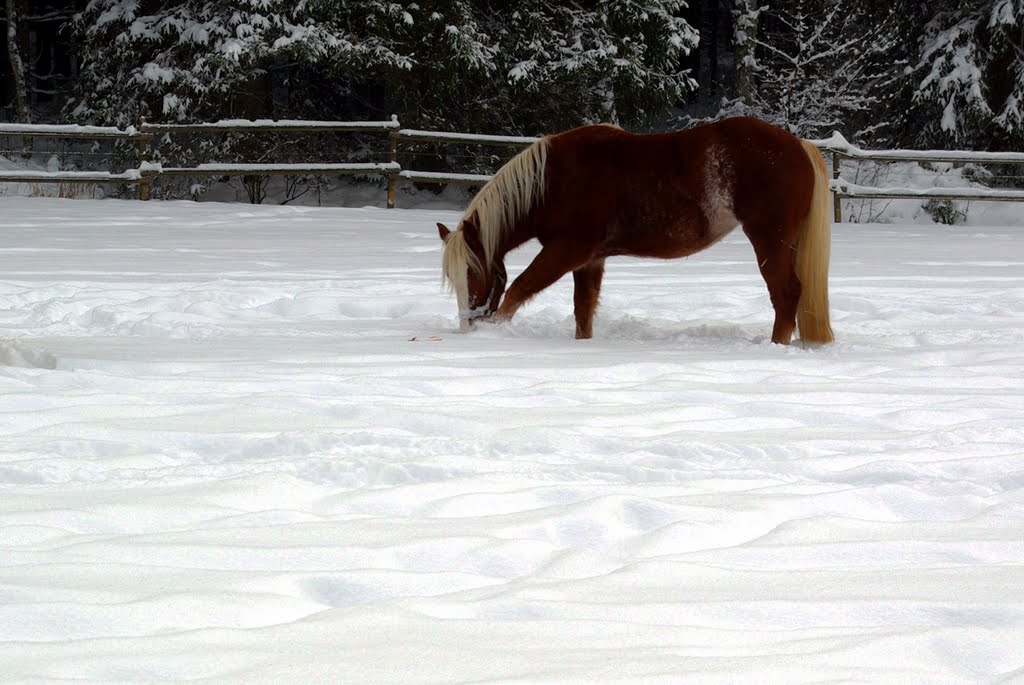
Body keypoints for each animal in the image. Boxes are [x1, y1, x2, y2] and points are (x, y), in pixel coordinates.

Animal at [438, 116, 831, 344]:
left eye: (474, 271)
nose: (466, 326)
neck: (554, 180)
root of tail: (798, 145)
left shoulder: (566, 251)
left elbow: (517, 291)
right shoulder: (589, 261)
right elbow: (583, 311)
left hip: (769, 239)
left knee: (786, 293)